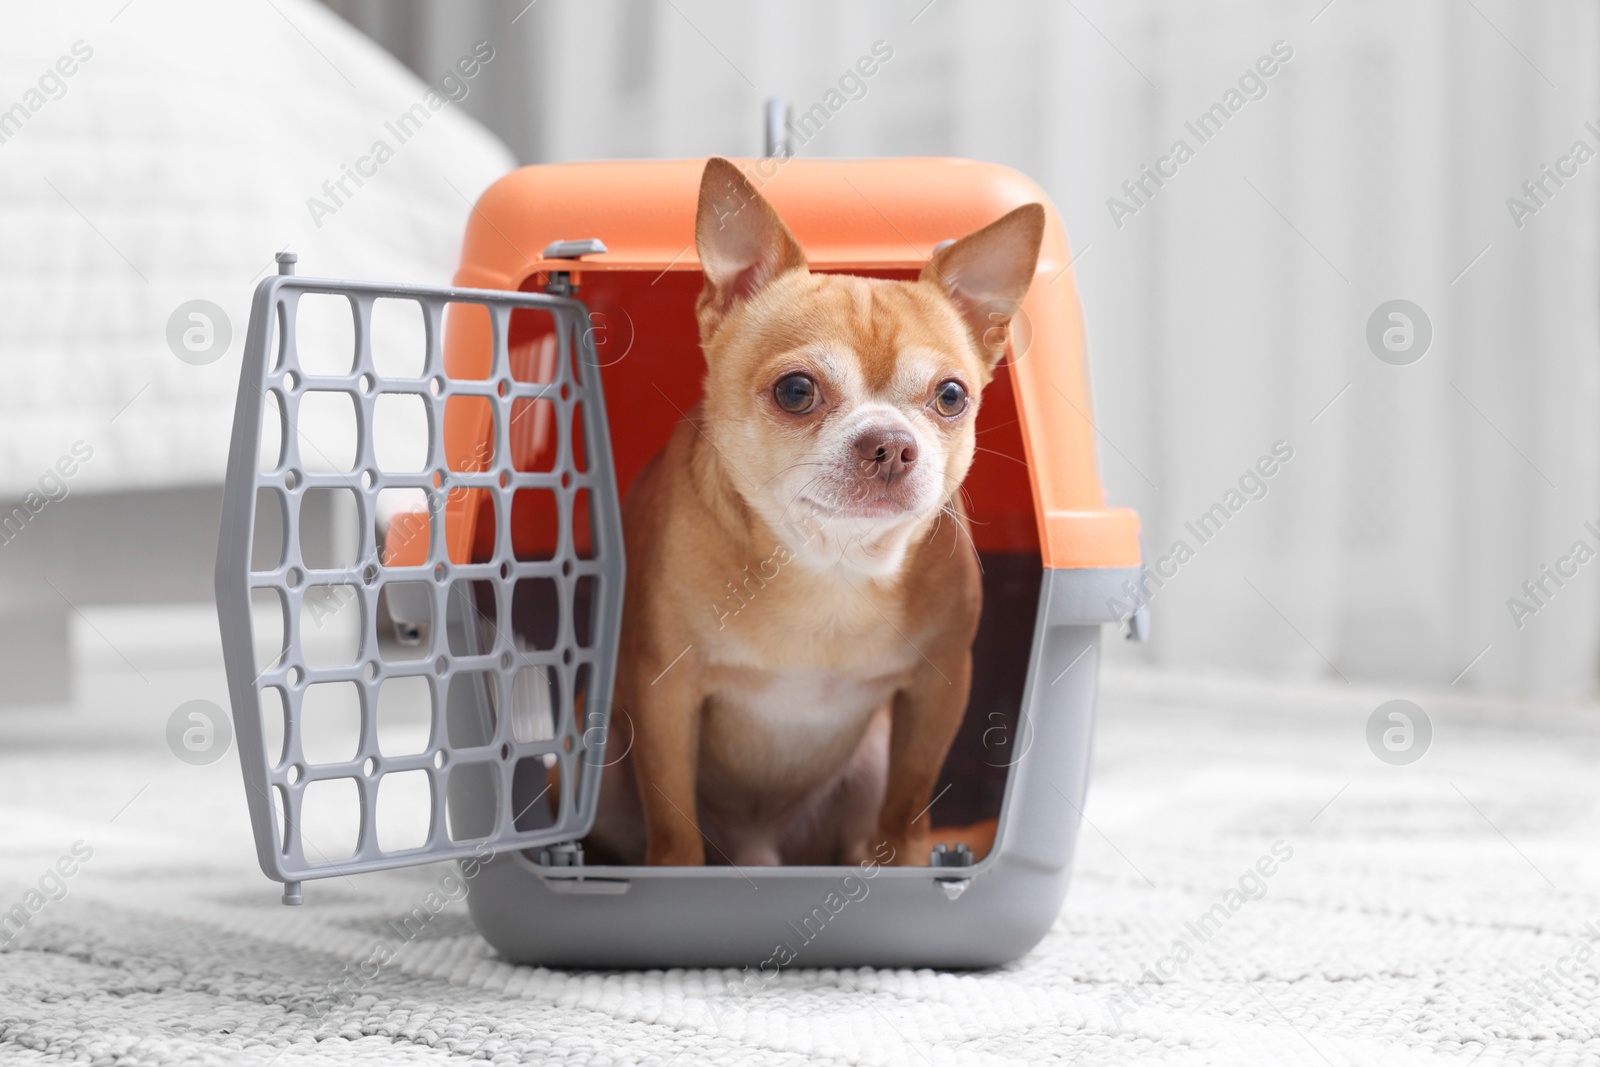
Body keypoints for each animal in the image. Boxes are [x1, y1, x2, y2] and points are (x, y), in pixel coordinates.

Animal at [585, 158, 1036, 870]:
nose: (891, 444)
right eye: (796, 391)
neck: (832, 566)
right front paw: (675, 874)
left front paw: (907, 868)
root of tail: (760, 852)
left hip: (867, 762)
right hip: (601, 753)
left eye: (951, 396)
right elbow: (674, 820)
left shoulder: (936, 692)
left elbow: (909, 803)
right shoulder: (663, 696)